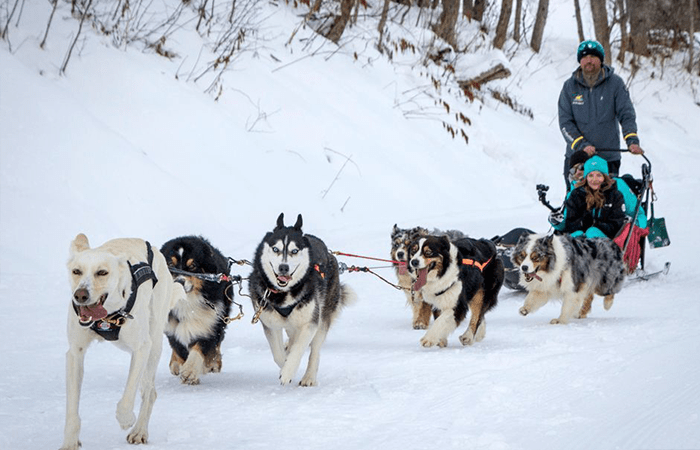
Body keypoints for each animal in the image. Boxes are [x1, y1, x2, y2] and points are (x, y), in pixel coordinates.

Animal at [61, 234, 180, 448]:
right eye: (76, 271)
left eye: (102, 272)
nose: (80, 295)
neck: (107, 316)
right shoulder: (75, 353)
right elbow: (72, 409)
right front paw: (69, 443)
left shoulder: (142, 348)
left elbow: (128, 395)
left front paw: (125, 418)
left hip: (154, 346)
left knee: (149, 392)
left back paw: (139, 431)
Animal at [247, 214, 356, 386]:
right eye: (275, 249)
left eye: (294, 250)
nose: (283, 267)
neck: (284, 294)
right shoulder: (271, 325)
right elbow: (278, 354)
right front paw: (285, 366)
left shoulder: (310, 323)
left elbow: (299, 349)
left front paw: (288, 371)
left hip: (322, 318)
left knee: (315, 351)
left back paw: (309, 377)